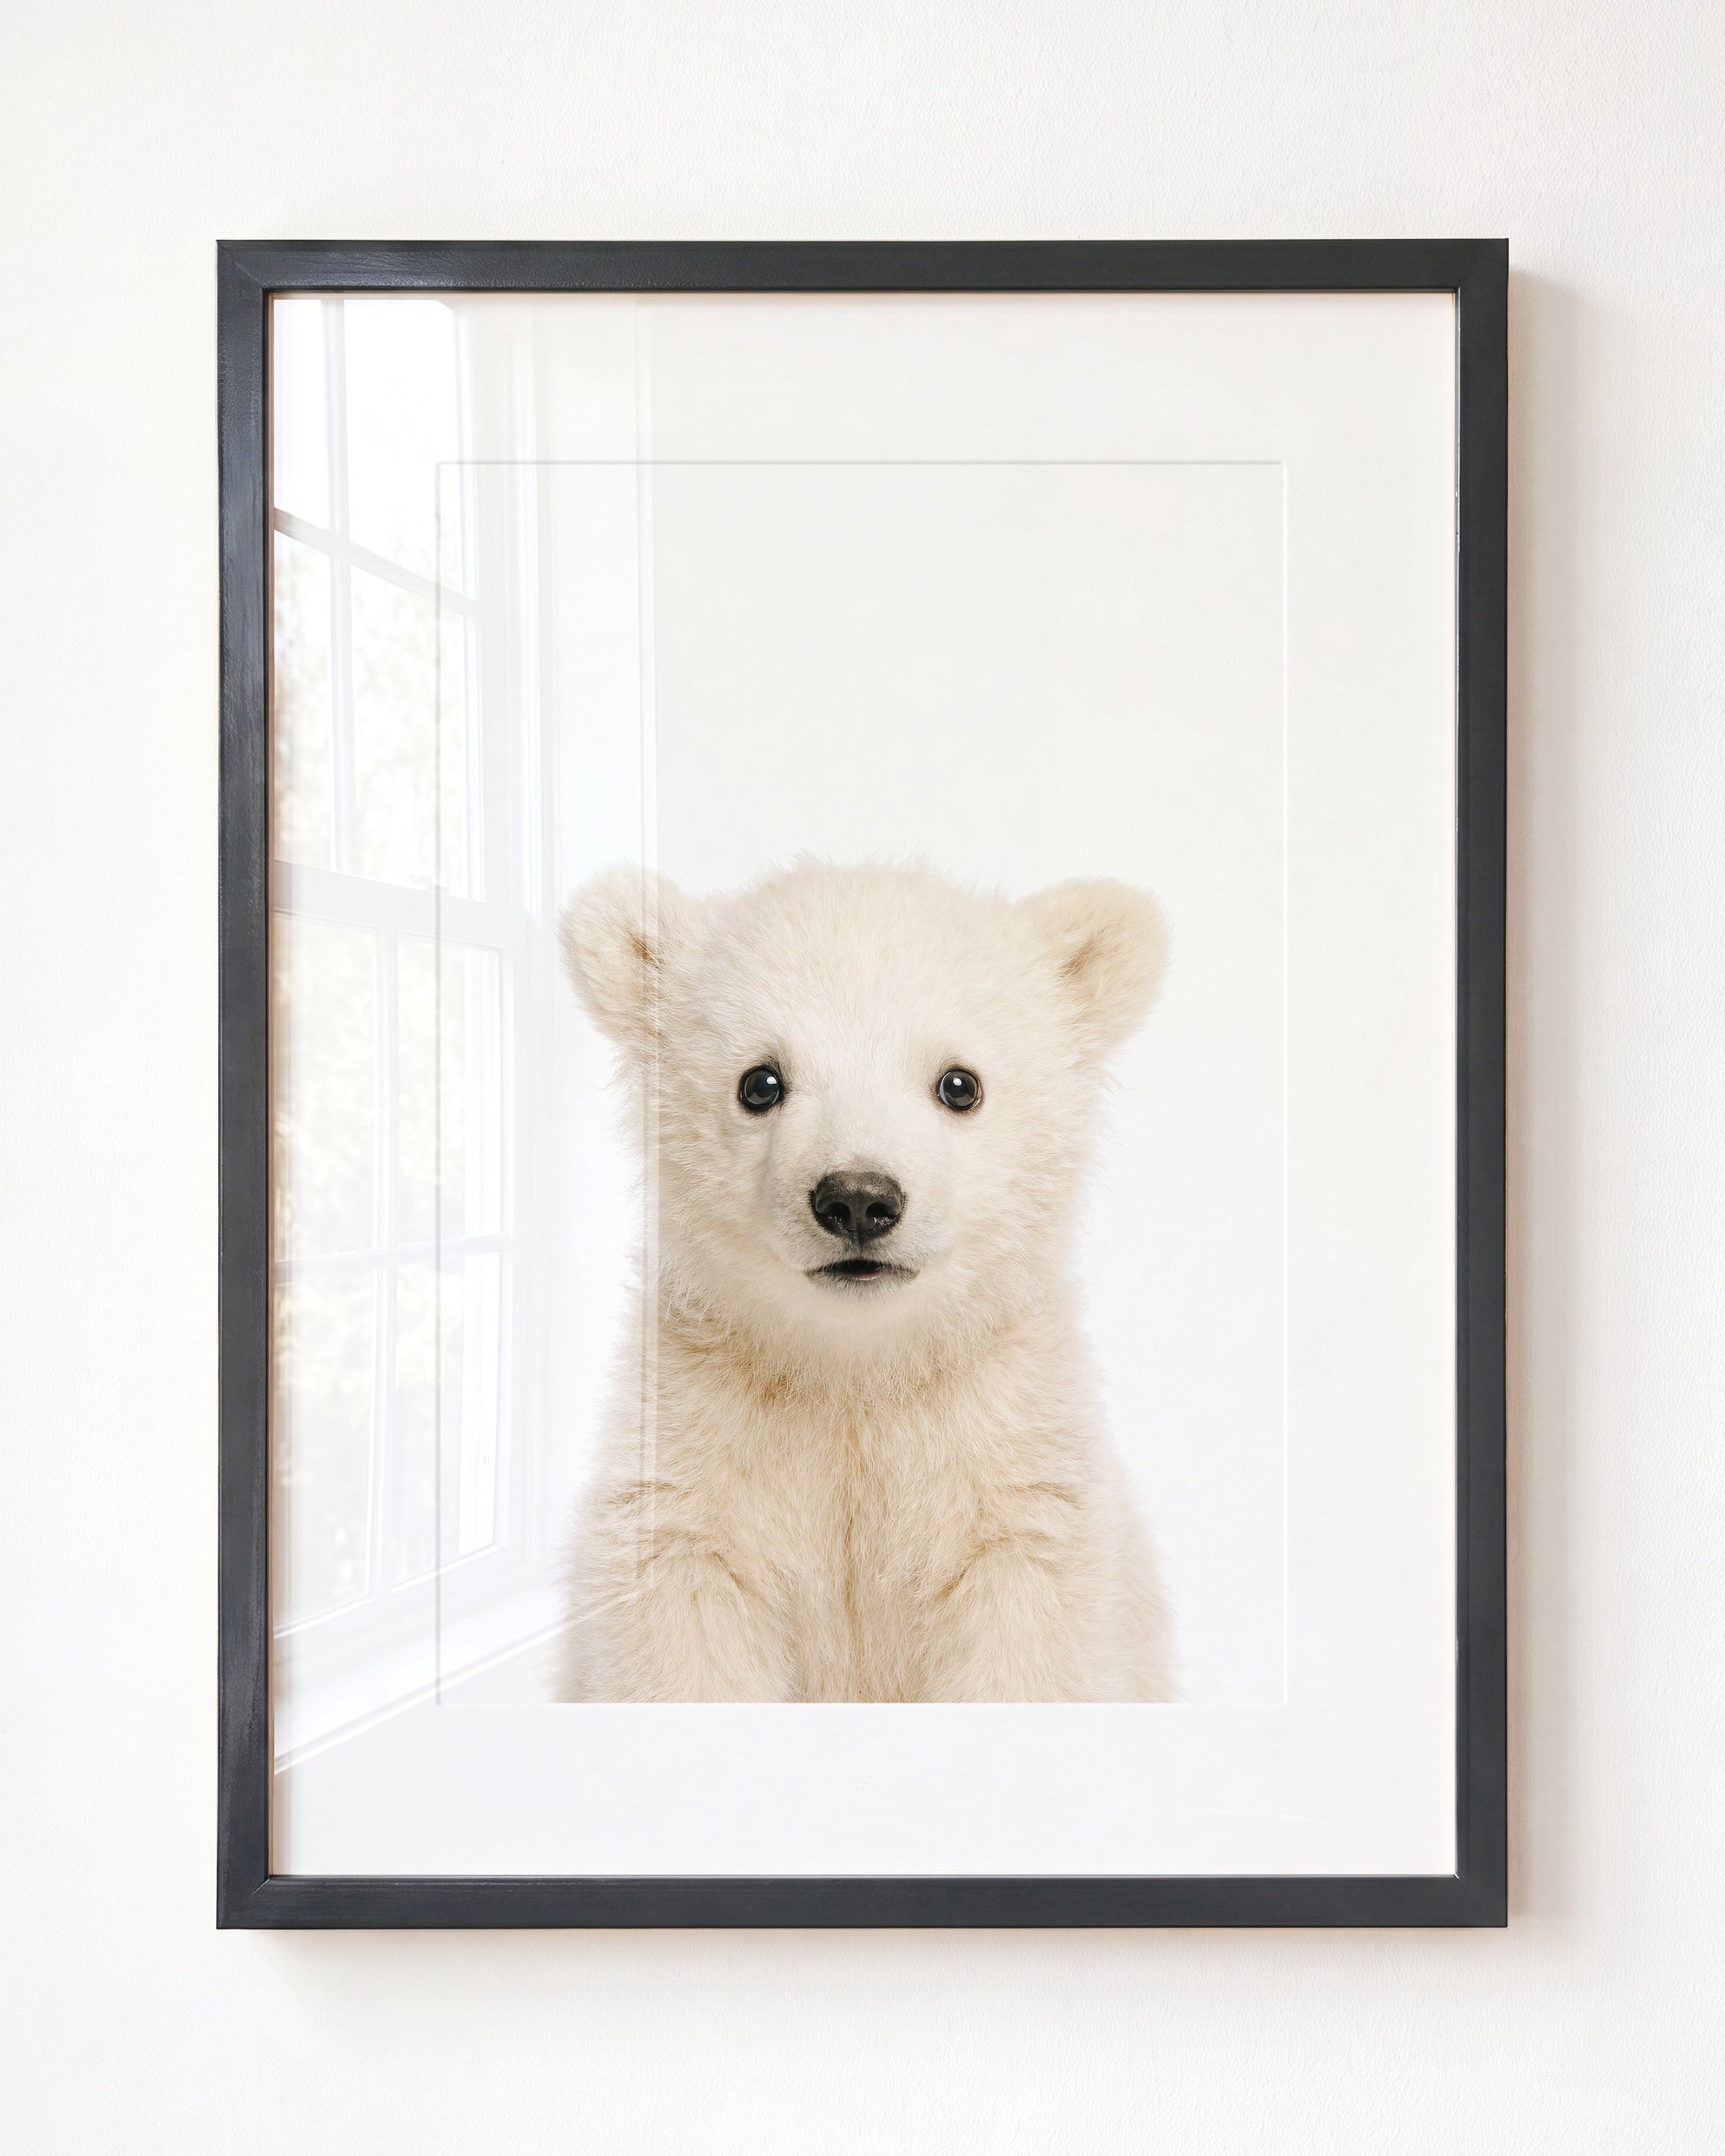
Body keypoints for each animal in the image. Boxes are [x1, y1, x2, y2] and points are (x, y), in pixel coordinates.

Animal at [554, 859, 1175, 1702]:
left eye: (959, 1083)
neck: (857, 1370)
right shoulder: (695, 1460)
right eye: (760, 1082)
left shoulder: (1012, 1473)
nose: (857, 1198)